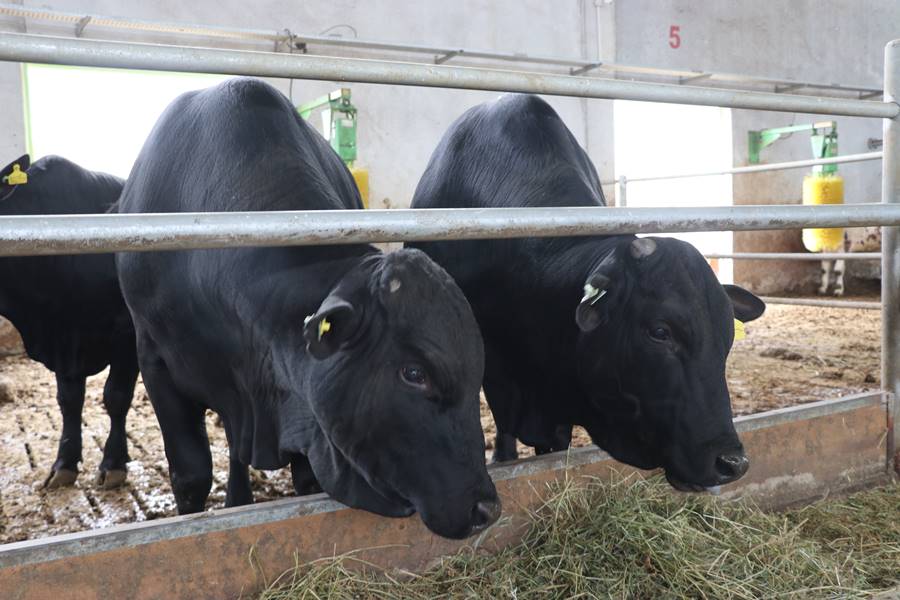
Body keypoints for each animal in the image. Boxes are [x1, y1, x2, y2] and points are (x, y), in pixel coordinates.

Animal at [0, 154, 139, 488]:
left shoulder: (127, 333)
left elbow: (116, 396)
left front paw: (114, 463)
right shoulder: (66, 340)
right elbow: (70, 401)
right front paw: (64, 463)